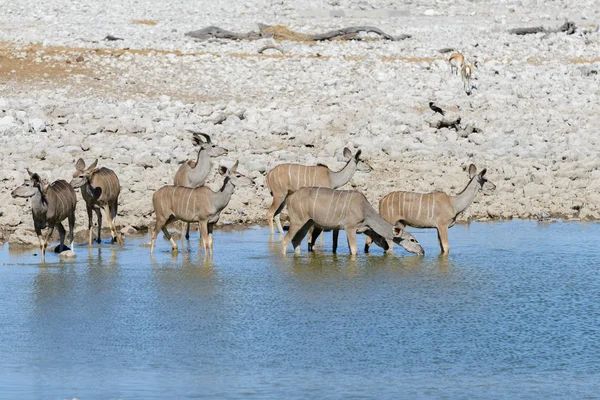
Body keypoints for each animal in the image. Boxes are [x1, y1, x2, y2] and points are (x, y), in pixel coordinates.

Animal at [280, 186, 422, 255]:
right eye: (412, 240)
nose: (422, 251)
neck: (364, 210)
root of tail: (290, 198)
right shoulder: (350, 228)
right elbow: (354, 250)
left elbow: (350, 249)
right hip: (297, 221)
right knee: (286, 240)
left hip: (307, 222)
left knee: (295, 240)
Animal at [364, 164, 494, 255]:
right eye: (486, 179)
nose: (495, 186)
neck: (454, 203)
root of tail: (382, 200)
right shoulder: (442, 226)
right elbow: (446, 247)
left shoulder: (438, 228)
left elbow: (441, 248)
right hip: (389, 221)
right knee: (384, 244)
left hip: (400, 224)